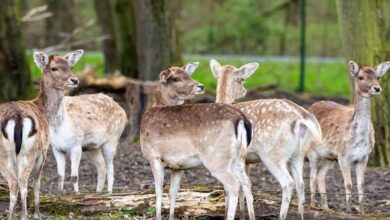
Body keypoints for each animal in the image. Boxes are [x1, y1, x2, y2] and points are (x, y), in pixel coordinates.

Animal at [0, 50, 81, 220]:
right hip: (27, 152)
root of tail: (16, 117)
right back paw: (25, 216)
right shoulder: (43, 151)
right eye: (54, 68)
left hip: (7, 154)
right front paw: (37, 213)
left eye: (70, 66)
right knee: (21, 182)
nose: (75, 80)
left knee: (14, 183)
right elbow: (37, 183)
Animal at [33, 55, 126, 194]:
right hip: (92, 147)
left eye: (70, 67)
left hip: (112, 139)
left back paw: (109, 193)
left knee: (110, 168)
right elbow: (60, 175)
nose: (75, 80)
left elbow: (74, 176)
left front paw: (76, 193)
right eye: (54, 68)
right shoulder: (56, 148)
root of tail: (122, 110)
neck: (58, 127)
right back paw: (98, 192)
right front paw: (60, 193)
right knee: (102, 167)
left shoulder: (76, 145)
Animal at [140, 62, 256, 220]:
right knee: (247, 183)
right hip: (238, 158)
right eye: (176, 78)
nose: (200, 86)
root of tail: (242, 120)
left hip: (216, 158)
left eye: (189, 75)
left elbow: (158, 190)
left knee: (233, 185)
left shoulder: (153, 156)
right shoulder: (178, 166)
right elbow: (173, 192)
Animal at [212, 58, 322, 220]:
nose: (244, 91)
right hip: (298, 154)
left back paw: (281, 216)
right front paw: (242, 215)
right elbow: (242, 187)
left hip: (272, 154)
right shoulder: (247, 160)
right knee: (301, 183)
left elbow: (235, 186)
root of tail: (302, 117)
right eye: (242, 80)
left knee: (288, 183)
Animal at [306, 60, 388, 213]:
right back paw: (313, 205)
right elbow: (348, 183)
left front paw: (362, 211)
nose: (377, 88)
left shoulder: (363, 157)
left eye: (378, 77)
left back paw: (326, 207)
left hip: (329, 157)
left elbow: (361, 184)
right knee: (312, 175)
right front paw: (349, 210)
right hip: (312, 152)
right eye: (361, 77)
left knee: (320, 175)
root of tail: (309, 107)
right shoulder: (343, 156)